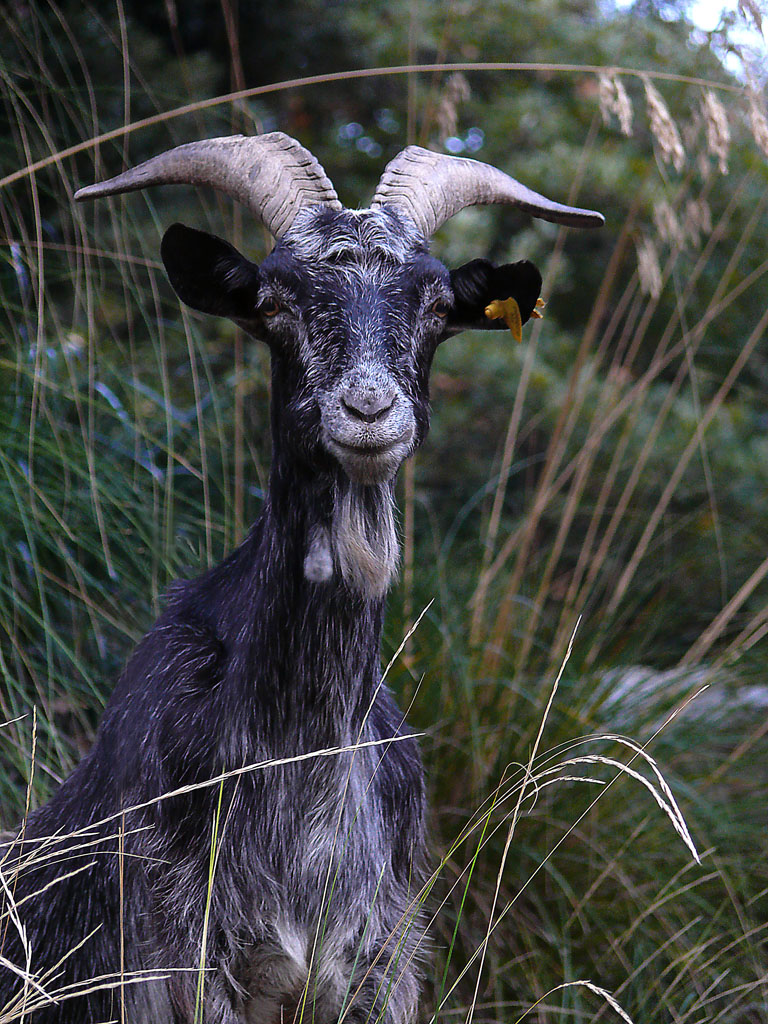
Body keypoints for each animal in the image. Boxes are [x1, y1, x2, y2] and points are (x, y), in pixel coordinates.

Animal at [0, 133, 602, 1024]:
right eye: (276, 301)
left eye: (434, 306)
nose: (369, 412)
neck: (300, 752)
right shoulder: (172, 958)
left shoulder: (378, 962)